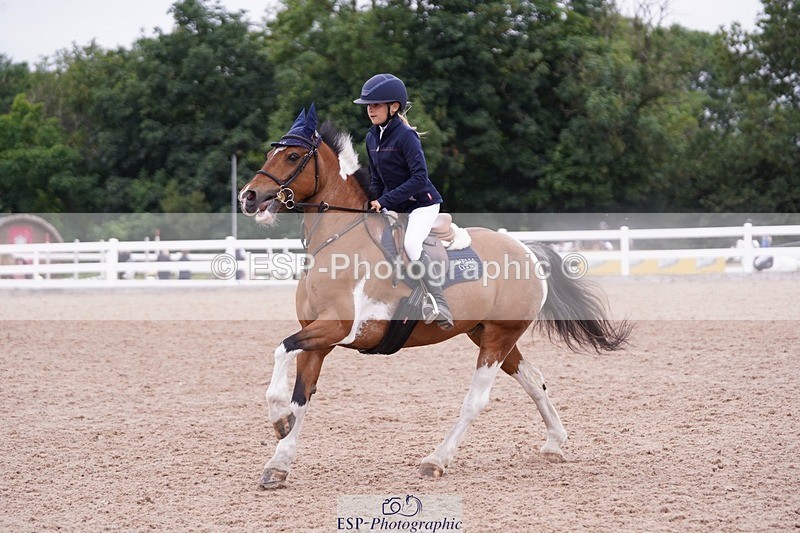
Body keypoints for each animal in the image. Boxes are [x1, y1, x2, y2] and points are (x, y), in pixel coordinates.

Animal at [239, 105, 631, 489]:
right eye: (270, 153)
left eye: (292, 156)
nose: (248, 197)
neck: (340, 239)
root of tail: (525, 250)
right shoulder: (317, 339)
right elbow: (301, 395)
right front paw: (279, 461)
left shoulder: (339, 327)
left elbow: (282, 349)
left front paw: (278, 419)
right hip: (486, 333)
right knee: (533, 379)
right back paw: (554, 443)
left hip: (499, 336)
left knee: (476, 401)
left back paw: (436, 460)